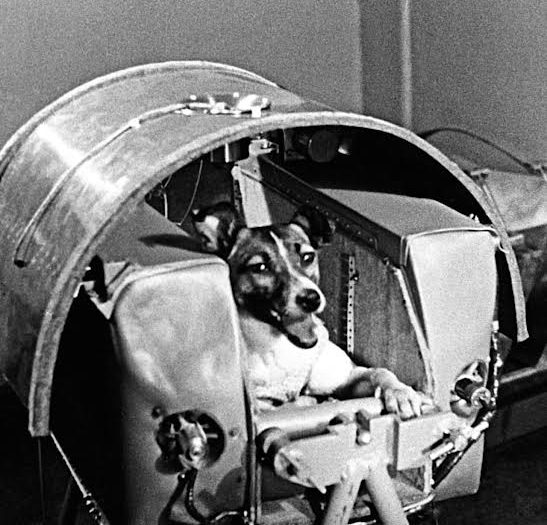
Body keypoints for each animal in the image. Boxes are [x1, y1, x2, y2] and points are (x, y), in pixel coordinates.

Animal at [193, 202, 428, 419]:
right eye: (259, 267)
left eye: (307, 257)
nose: (311, 299)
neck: (283, 347)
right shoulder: (263, 405)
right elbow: (286, 405)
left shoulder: (348, 375)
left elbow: (380, 372)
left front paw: (400, 392)